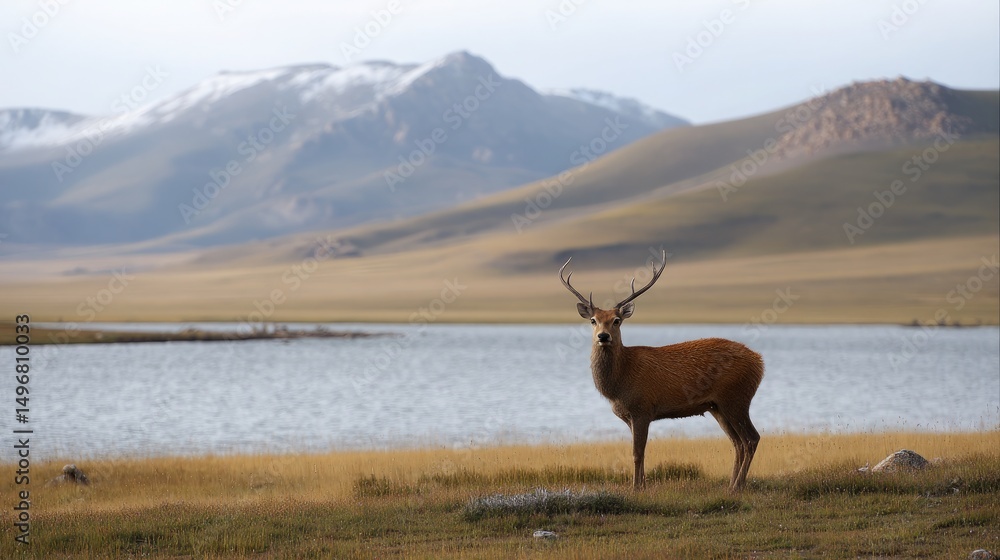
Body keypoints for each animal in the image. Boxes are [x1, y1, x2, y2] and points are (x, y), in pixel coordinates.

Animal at [559, 250, 764, 493]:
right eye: (593, 320)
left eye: (617, 321)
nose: (603, 336)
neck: (618, 387)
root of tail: (759, 362)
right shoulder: (630, 416)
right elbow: (640, 452)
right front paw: (642, 485)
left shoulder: (643, 408)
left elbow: (637, 453)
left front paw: (636, 488)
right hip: (718, 406)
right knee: (737, 442)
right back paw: (731, 484)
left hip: (736, 398)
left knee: (751, 438)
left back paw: (737, 486)